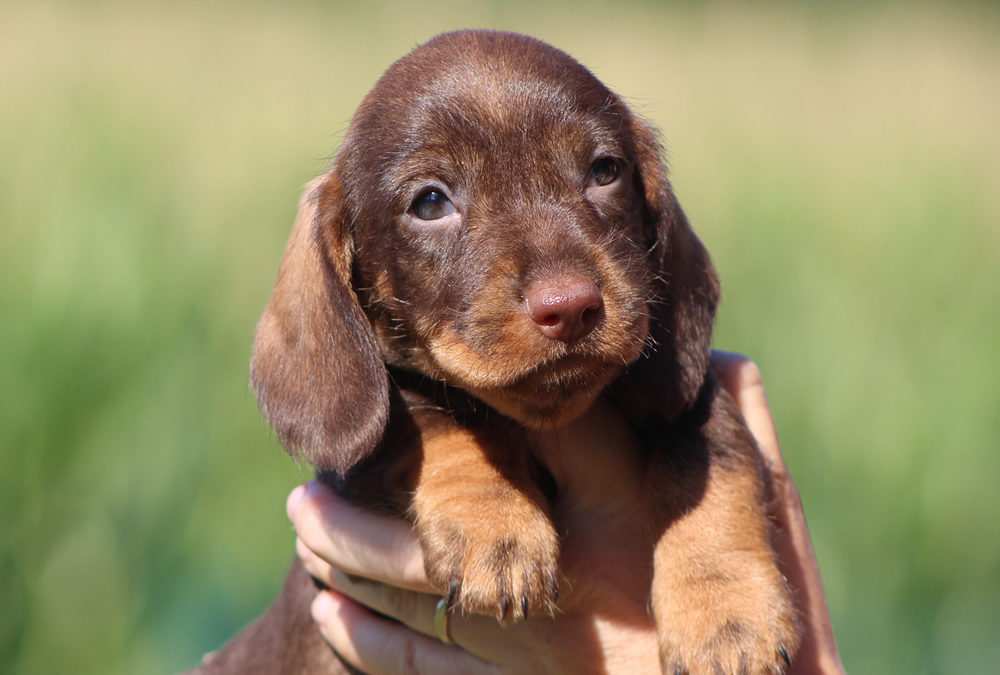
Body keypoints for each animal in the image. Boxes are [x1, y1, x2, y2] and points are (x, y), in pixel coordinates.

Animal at [197, 29, 804, 672]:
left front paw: (726, 614)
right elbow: (431, 415)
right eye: (430, 203)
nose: (571, 307)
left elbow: (709, 461)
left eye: (605, 171)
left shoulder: (691, 389)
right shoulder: (355, 468)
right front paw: (495, 524)